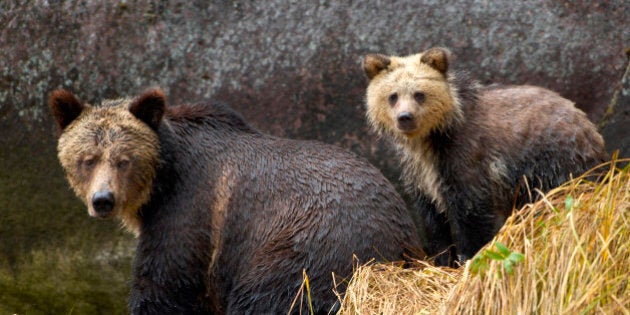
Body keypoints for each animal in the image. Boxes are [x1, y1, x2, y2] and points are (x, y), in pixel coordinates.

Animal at [49, 89, 424, 315]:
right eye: (87, 159)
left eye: (124, 160)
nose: (103, 200)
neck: (162, 180)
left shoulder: (190, 210)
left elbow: (164, 284)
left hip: (307, 248)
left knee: (267, 297)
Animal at [362, 47, 608, 266]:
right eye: (392, 96)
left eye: (419, 94)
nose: (405, 117)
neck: (431, 140)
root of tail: (590, 128)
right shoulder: (420, 174)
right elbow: (433, 220)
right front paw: (442, 260)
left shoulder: (466, 159)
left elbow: (472, 214)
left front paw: (468, 258)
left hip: (554, 163)